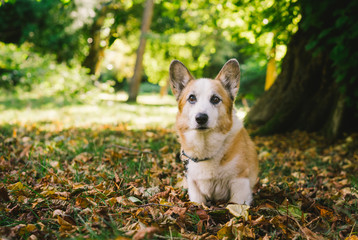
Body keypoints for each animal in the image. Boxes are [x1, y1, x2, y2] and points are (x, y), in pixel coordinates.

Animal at [169, 59, 258, 204]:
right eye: (192, 98)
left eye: (215, 99)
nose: (201, 118)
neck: (205, 146)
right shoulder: (193, 184)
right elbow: (197, 202)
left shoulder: (240, 183)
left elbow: (236, 206)